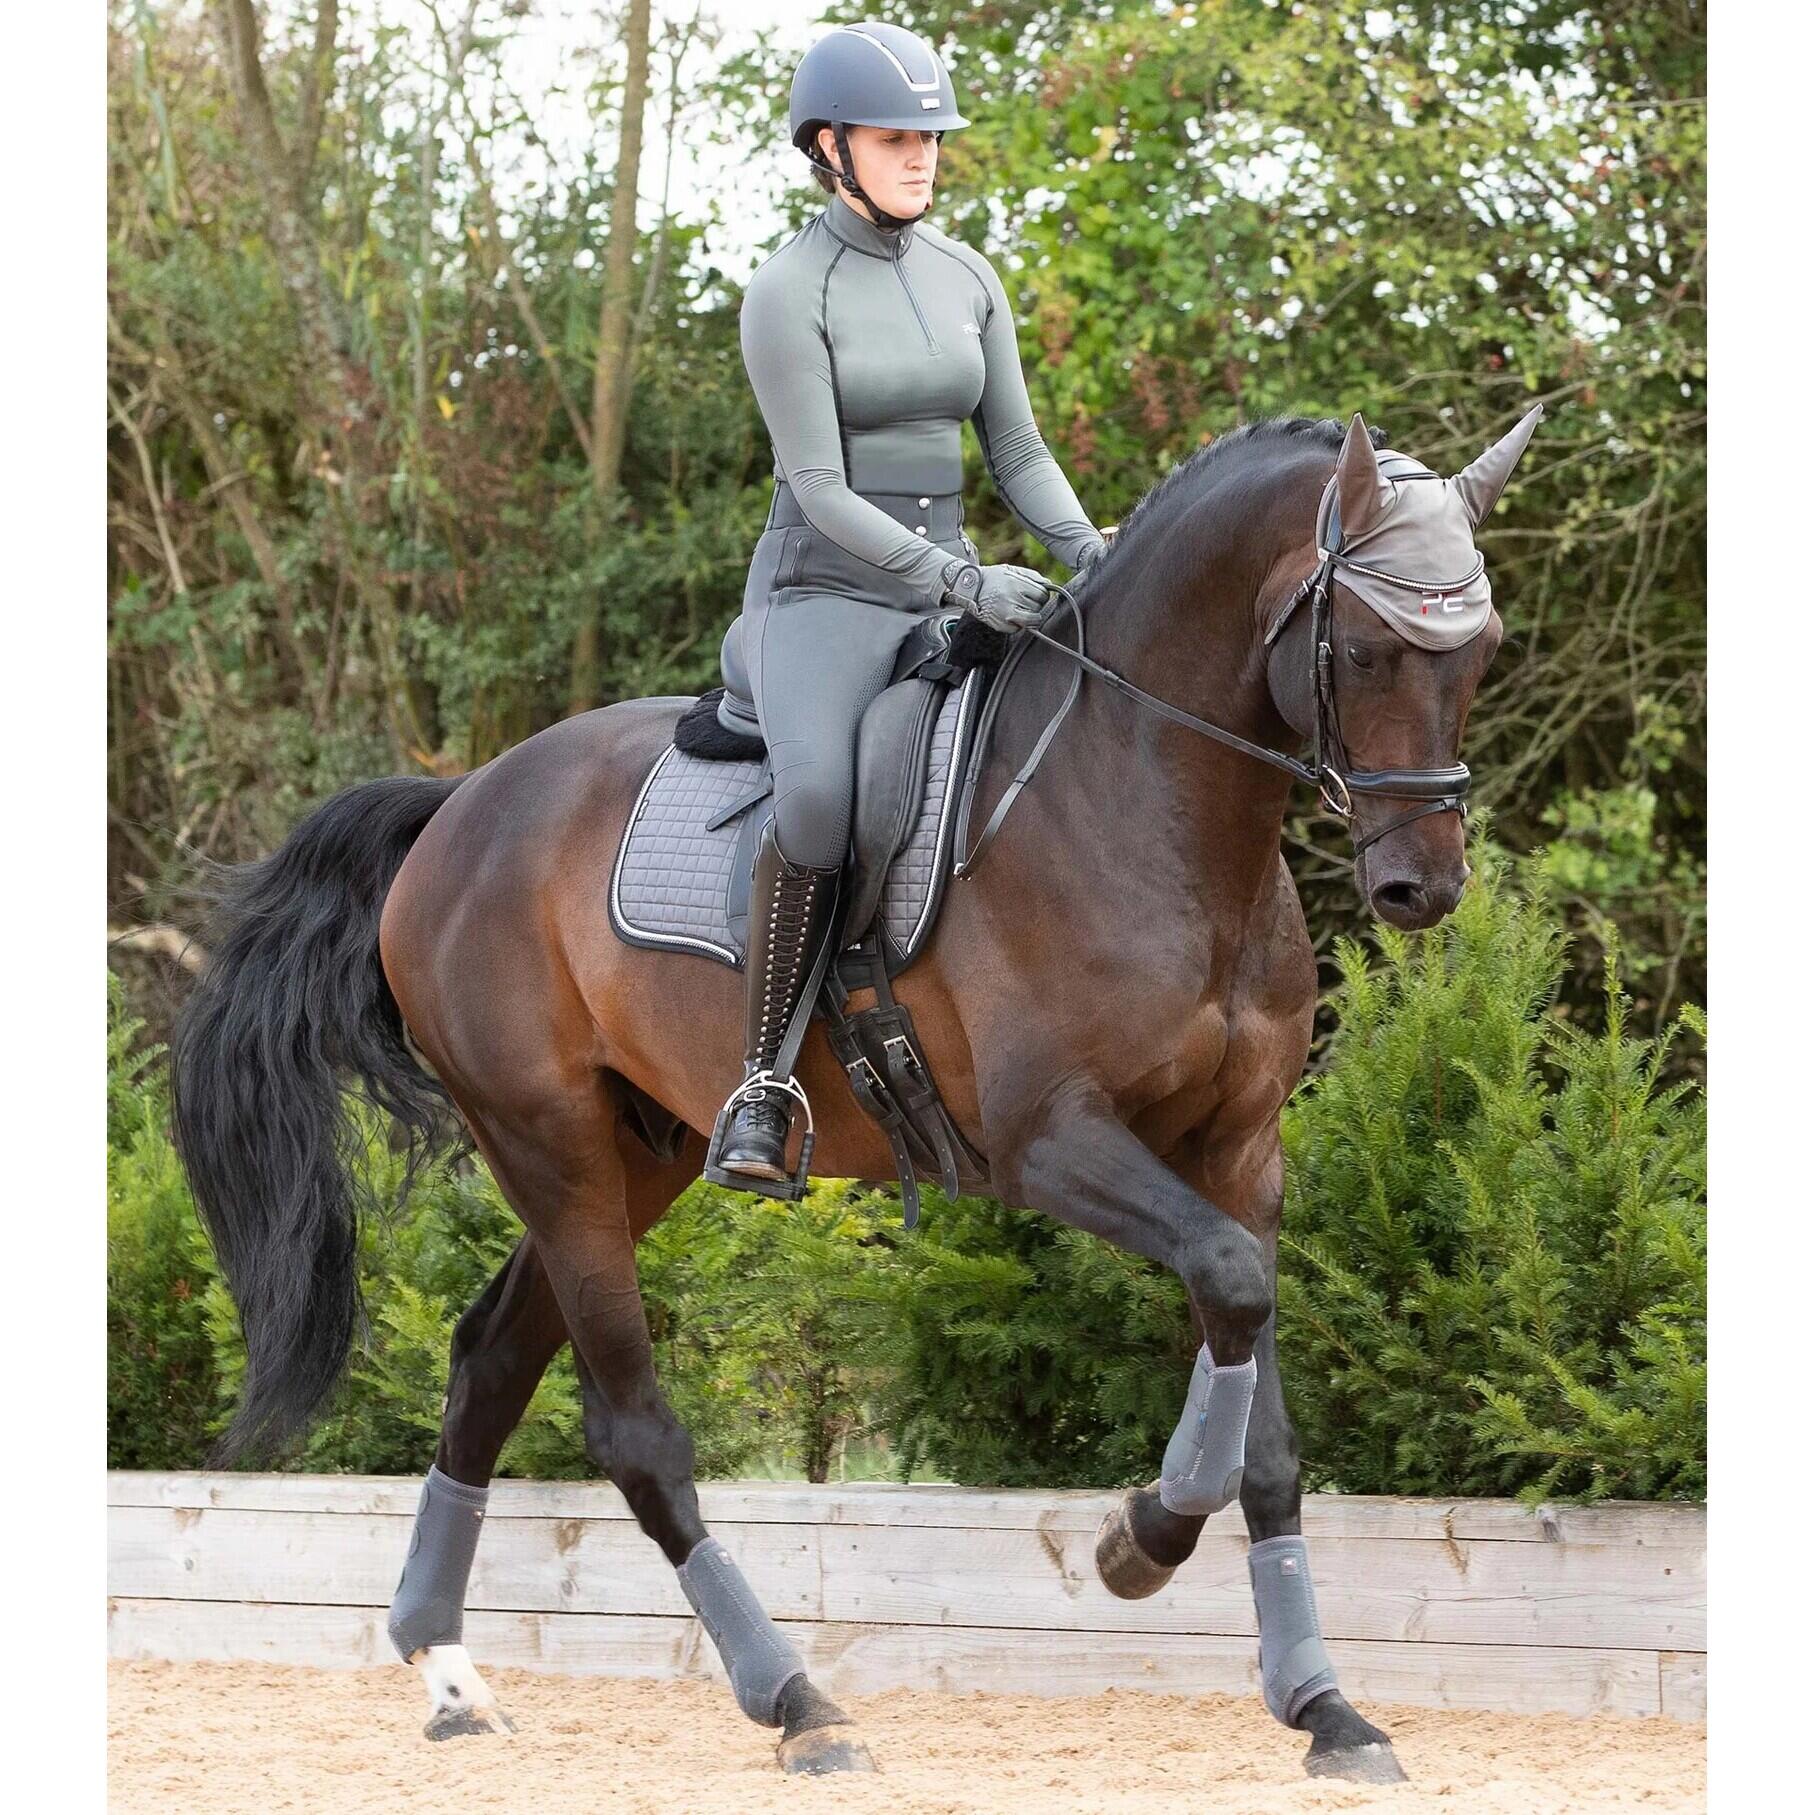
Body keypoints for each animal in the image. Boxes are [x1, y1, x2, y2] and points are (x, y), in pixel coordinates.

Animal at [169, 407, 1539, 1782]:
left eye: (1480, 653)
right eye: (1363, 648)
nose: (1422, 887)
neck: (1152, 803)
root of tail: (461, 804)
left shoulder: (1240, 1153)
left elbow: (1259, 1403)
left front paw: (1323, 1706)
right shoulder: (1051, 1142)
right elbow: (1232, 1289)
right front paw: (1139, 1541)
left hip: (635, 1151)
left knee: (491, 1361)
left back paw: (450, 1674)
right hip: (547, 1144)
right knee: (632, 1433)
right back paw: (796, 1702)